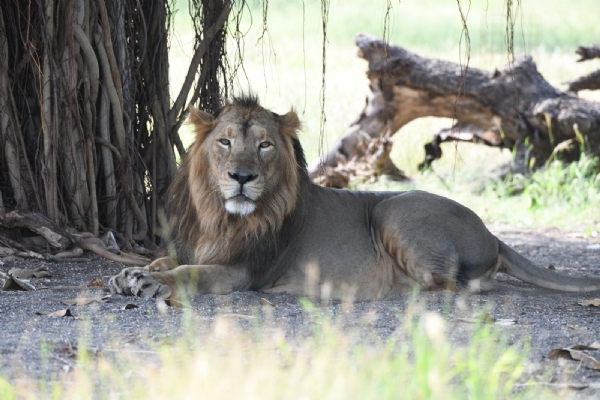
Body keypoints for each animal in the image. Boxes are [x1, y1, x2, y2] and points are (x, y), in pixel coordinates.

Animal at [110, 94, 600, 300]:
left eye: (264, 145)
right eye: (225, 142)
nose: (242, 177)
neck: (223, 216)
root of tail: (493, 234)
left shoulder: (244, 271)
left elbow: (189, 273)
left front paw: (150, 282)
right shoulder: (202, 246)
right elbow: (166, 258)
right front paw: (129, 274)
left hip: (392, 209)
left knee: (464, 284)